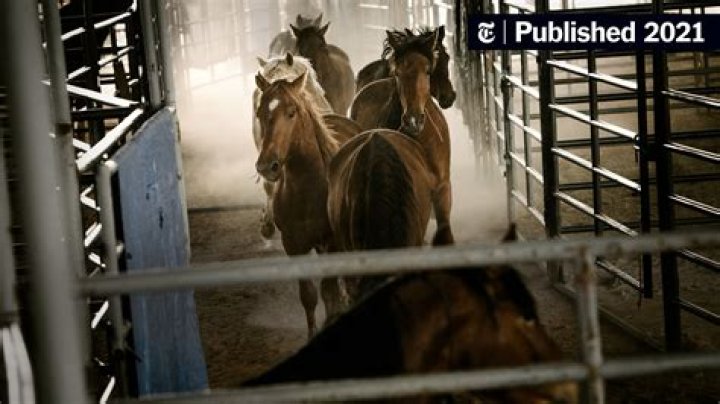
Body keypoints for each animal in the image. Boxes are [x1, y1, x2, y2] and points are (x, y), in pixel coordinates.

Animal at [254, 71, 360, 337]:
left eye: (291, 112)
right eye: (260, 113)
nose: (267, 166)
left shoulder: (332, 243)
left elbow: (329, 291)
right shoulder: (293, 246)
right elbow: (309, 295)